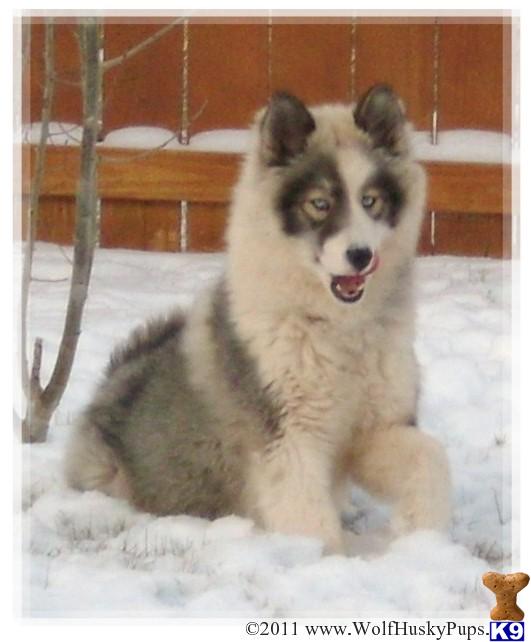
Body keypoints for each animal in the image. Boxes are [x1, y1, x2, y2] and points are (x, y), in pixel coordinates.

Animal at [64, 84, 451, 554]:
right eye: (319, 204)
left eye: (370, 201)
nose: (360, 255)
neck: (336, 329)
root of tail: (112, 379)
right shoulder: (289, 439)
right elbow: (312, 523)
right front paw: (329, 561)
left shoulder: (373, 430)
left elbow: (430, 460)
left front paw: (423, 540)